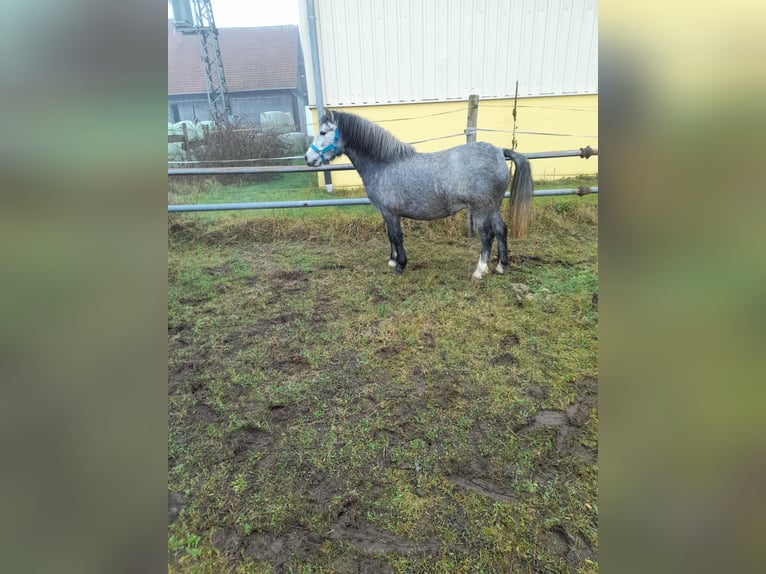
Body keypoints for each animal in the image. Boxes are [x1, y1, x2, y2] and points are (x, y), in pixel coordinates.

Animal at [304, 110, 533, 279]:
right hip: (493, 206)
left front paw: (400, 265)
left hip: (481, 208)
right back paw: (501, 266)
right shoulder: (386, 213)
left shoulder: (390, 212)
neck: (384, 164)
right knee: (501, 230)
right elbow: (390, 235)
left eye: (323, 132)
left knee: (487, 236)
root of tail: (499, 151)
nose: (308, 158)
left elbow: (396, 236)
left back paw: (479, 271)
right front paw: (392, 260)